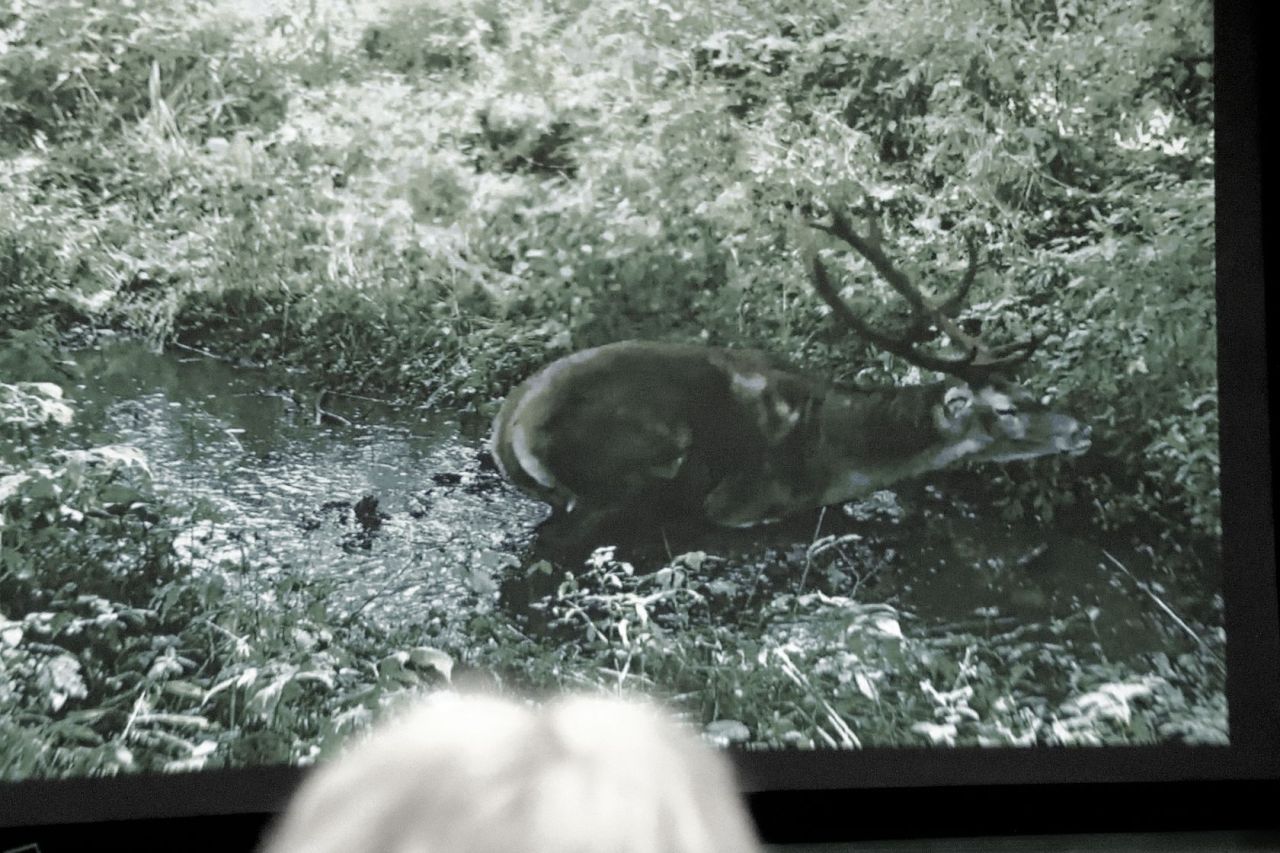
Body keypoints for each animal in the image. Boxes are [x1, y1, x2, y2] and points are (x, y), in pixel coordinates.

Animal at [490, 207, 1091, 560]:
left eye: (1025, 385)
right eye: (1004, 408)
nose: (1082, 428)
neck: (838, 451)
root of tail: (510, 430)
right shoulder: (743, 502)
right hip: (619, 478)